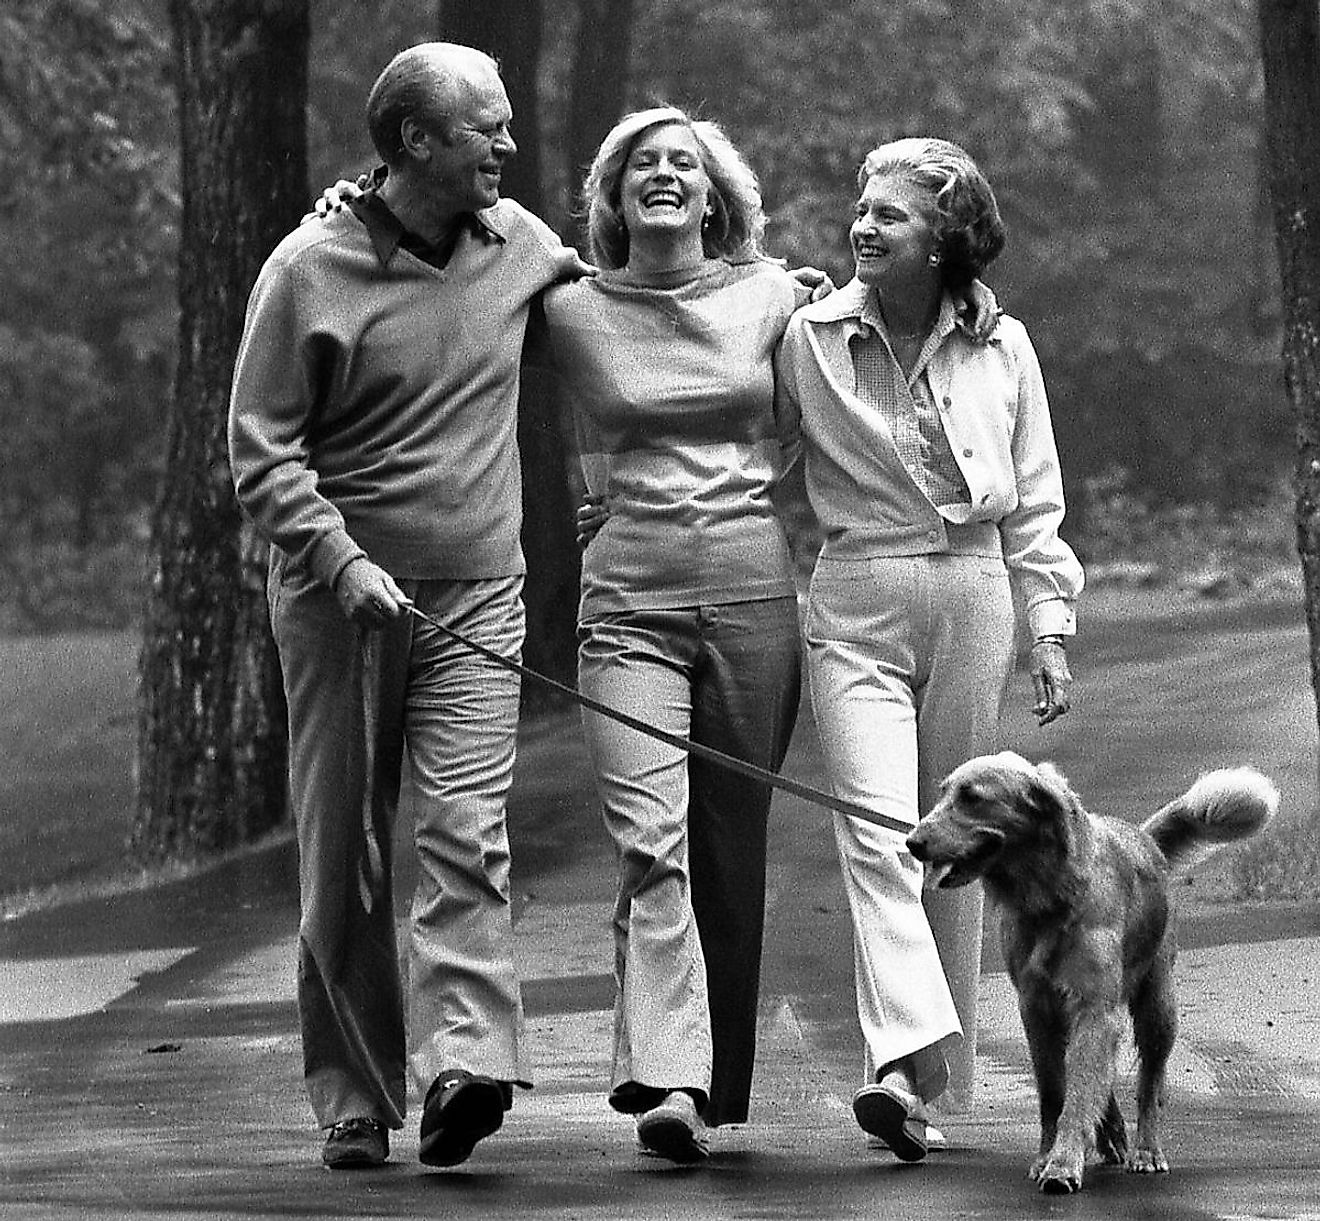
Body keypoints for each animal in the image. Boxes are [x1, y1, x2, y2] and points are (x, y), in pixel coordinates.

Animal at [908, 749, 1277, 1193]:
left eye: (972, 798)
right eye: (944, 792)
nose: (913, 842)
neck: (1047, 897)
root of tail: (1143, 836)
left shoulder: (1093, 1004)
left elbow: (1082, 1091)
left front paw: (1064, 1161)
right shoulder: (1037, 1008)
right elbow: (1057, 1092)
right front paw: (1048, 1154)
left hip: (1158, 1006)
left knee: (1149, 1085)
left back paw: (1146, 1151)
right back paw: (1112, 1133)